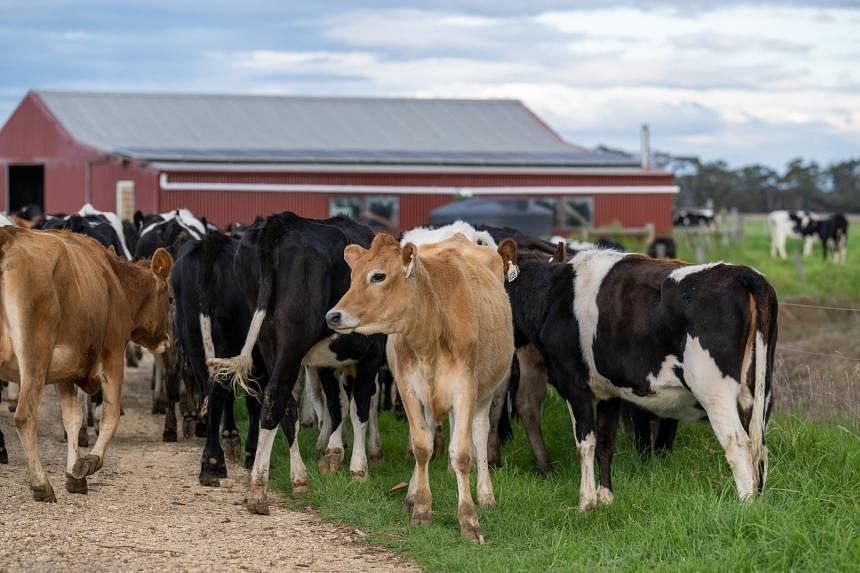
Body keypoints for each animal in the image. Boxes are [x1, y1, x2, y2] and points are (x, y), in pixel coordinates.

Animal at [0, 226, 173, 501]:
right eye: (170, 300)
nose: (166, 340)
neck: (113, 280)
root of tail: (8, 238)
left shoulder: (64, 371)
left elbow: (73, 418)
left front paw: (74, 474)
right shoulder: (113, 355)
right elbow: (111, 415)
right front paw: (90, 462)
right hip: (34, 357)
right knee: (25, 416)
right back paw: (41, 484)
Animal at [206, 213, 385, 515]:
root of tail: (280, 222)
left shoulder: (326, 361)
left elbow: (337, 403)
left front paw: (334, 453)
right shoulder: (371, 353)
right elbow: (358, 406)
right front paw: (358, 469)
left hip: (268, 341)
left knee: (287, 405)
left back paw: (299, 478)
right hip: (293, 340)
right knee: (276, 395)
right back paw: (259, 488)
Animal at [325, 233, 516, 543]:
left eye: (378, 276)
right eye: (352, 276)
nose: (332, 316)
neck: (431, 330)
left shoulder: (465, 389)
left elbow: (462, 453)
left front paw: (469, 519)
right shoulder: (408, 388)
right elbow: (421, 446)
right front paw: (421, 509)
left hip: (486, 392)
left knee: (479, 434)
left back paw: (486, 495)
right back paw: (412, 494)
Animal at [500, 245, 777, 511]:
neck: (552, 297)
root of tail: (741, 272)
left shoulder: (574, 384)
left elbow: (585, 443)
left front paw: (586, 502)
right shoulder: (608, 392)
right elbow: (605, 442)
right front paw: (606, 498)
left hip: (714, 391)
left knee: (738, 443)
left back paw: (745, 504)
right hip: (757, 393)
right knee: (759, 446)